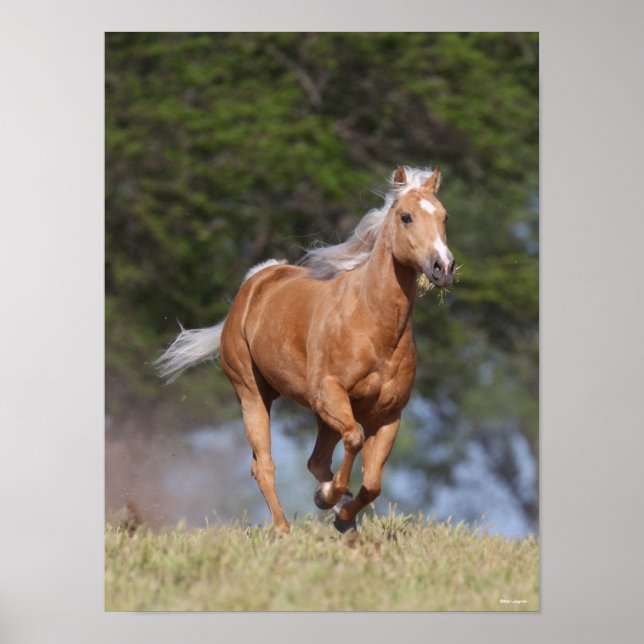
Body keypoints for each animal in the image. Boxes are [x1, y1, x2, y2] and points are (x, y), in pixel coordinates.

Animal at [156, 165, 455, 533]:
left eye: (444, 216)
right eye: (406, 216)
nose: (443, 267)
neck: (375, 326)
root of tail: (255, 281)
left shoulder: (389, 415)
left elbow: (372, 484)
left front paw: (342, 514)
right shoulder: (329, 394)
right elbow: (354, 439)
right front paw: (328, 498)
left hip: (320, 415)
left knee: (316, 461)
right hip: (251, 393)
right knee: (265, 465)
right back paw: (283, 528)